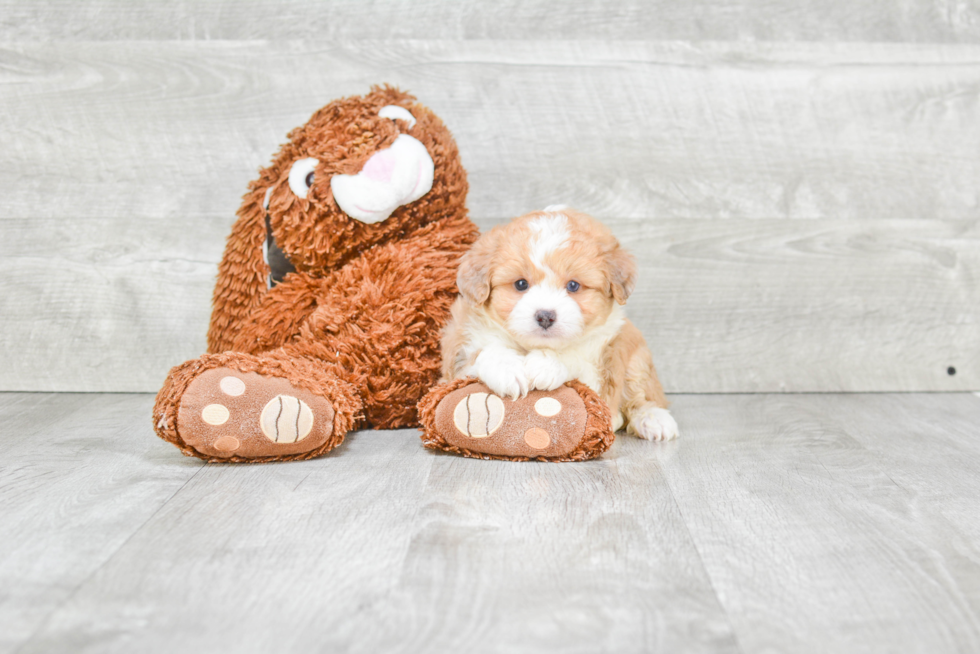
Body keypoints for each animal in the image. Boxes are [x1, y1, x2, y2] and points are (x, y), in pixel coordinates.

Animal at [440, 205, 676, 444]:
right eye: (521, 284)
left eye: (573, 286)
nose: (545, 316)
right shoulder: (456, 362)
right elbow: (484, 353)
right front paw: (506, 369)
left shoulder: (600, 373)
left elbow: (575, 356)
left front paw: (546, 363)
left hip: (636, 359)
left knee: (640, 396)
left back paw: (653, 418)